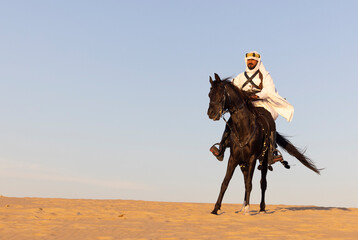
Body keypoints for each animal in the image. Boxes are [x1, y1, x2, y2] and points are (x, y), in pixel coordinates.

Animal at [207, 73, 322, 216]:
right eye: (209, 94)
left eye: (221, 93)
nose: (211, 113)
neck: (243, 128)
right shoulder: (233, 158)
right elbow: (225, 183)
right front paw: (216, 209)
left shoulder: (252, 158)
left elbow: (250, 184)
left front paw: (248, 209)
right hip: (243, 163)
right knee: (246, 180)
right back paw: (243, 206)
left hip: (264, 160)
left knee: (263, 183)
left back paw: (261, 208)